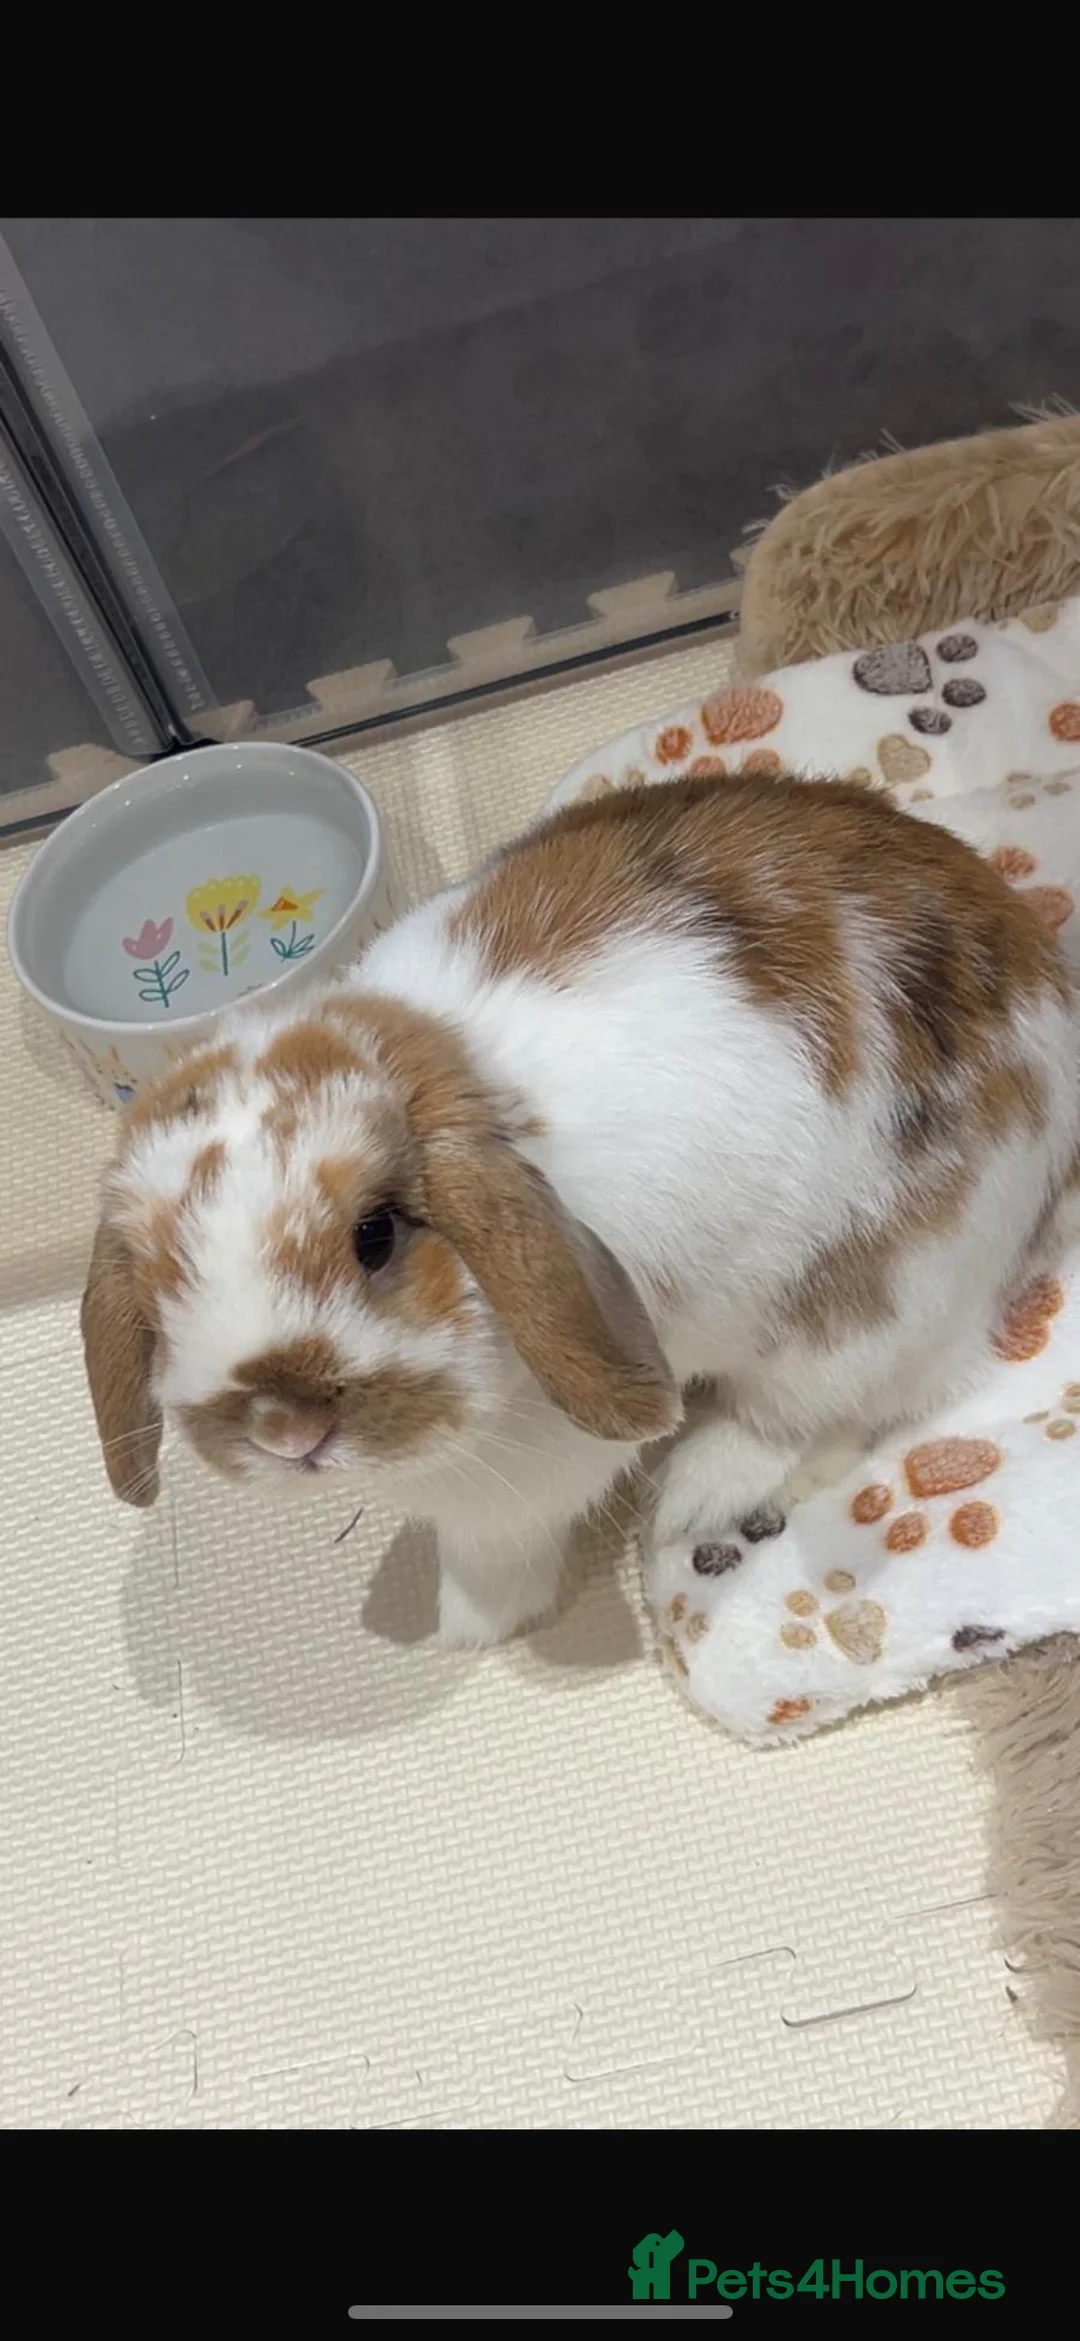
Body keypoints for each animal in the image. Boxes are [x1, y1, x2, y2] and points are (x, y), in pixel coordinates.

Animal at [82, 770, 1080, 1648]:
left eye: (377, 1234)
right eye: (160, 1285)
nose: (285, 1431)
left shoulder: (526, 1477)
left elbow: (498, 1551)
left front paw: (468, 1629)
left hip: (880, 1302)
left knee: (834, 1410)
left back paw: (697, 1492)